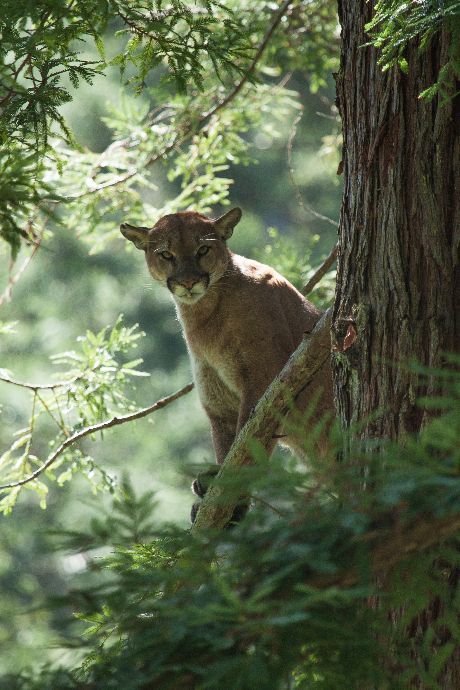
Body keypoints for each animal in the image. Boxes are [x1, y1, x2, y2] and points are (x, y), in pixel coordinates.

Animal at [120, 208, 332, 468]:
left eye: (203, 250)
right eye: (166, 254)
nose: (188, 282)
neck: (204, 315)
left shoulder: (263, 376)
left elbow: (249, 438)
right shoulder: (219, 401)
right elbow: (227, 448)